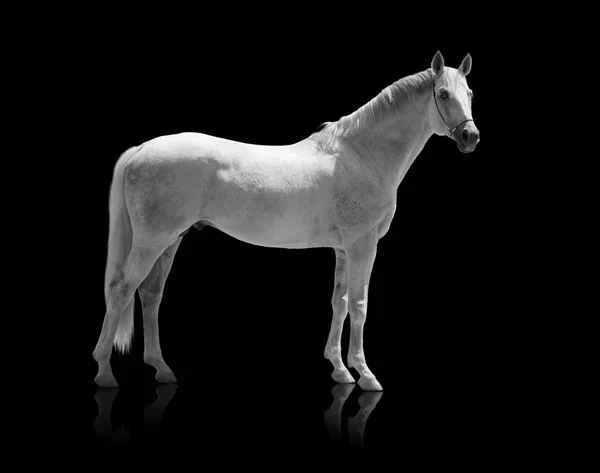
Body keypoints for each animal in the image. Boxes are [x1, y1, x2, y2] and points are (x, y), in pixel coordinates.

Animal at [92, 51, 478, 390]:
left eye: (470, 94)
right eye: (443, 94)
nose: (470, 137)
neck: (361, 155)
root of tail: (142, 149)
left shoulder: (342, 249)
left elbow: (338, 302)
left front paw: (339, 370)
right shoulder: (362, 244)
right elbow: (359, 304)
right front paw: (366, 375)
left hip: (171, 240)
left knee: (150, 294)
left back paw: (161, 368)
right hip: (151, 241)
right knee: (121, 289)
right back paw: (105, 372)